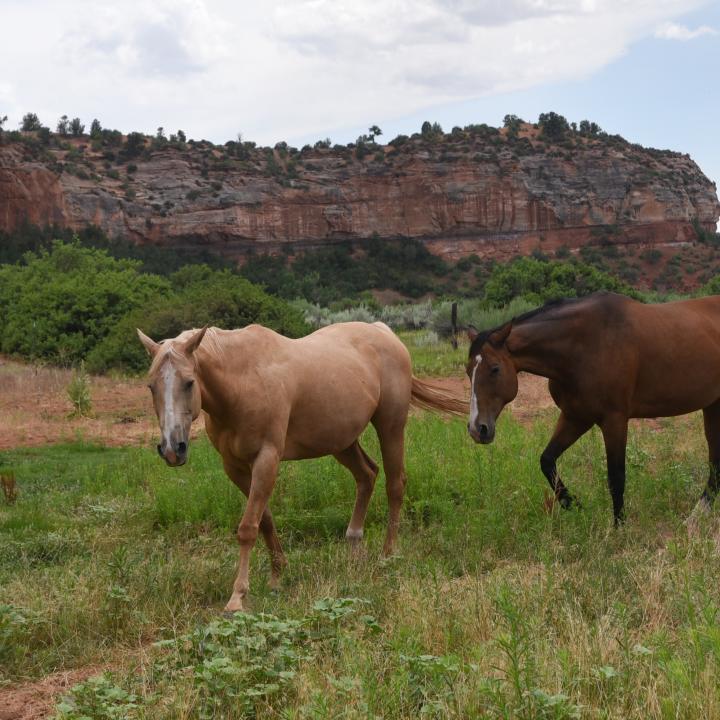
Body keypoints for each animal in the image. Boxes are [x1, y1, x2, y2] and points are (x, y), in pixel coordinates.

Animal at [139, 324, 466, 612]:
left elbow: (248, 527)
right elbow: (264, 520)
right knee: (367, 475)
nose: (172, 449)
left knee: (394, 484)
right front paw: (277, 575)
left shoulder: (267, 458)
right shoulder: (235, 467)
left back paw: (388, 554)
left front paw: (237, 596)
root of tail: (384, 331)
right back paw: (354, 544)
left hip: (391, 426)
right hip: (342, 441)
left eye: (189, 382)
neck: (242, 382)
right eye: (151, 386)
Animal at [466, 294, 720, 528]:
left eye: (495, 369)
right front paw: (575, 505)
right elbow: (547, 460)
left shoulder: (615, 420)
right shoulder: (575, 417)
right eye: (469, 371)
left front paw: (619, 528)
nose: (478, 429)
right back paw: (695, 518)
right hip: (712, 406)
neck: (585, 346)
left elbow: (616, 476)